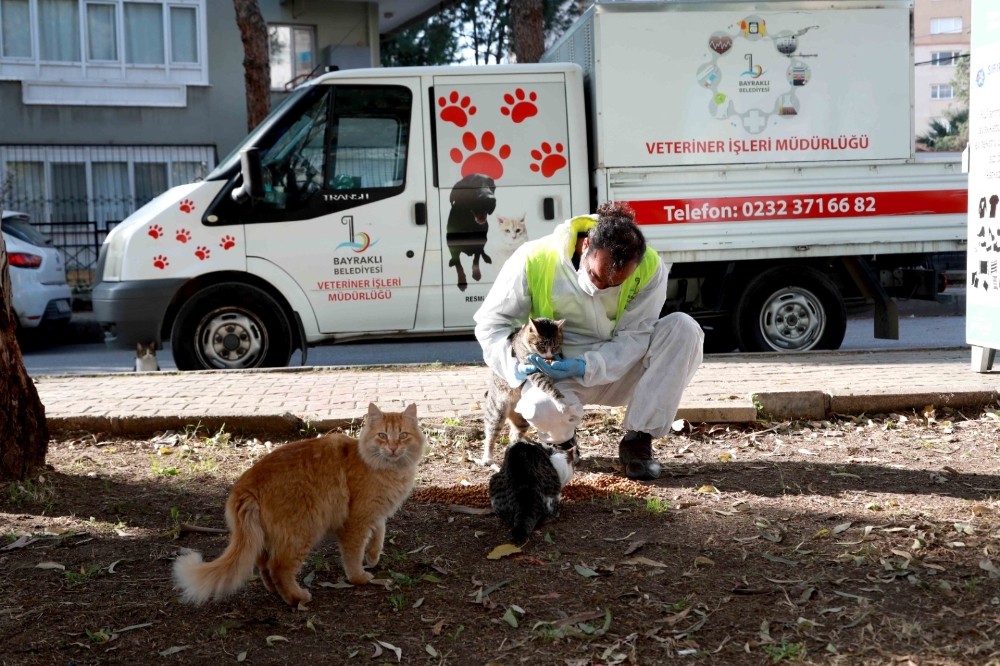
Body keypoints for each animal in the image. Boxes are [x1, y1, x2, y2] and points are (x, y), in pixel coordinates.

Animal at [172, 402, 422, 604]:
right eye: (382, 435)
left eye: (402, 435)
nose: (393, 448)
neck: (389, 470)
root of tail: (246, 484)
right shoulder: (356, 522)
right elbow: (353, 556)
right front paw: (359, 577)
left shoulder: (376, 513)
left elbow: (379, 533)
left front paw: (373, 556)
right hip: (302, 531)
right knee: (278, 568)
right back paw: (296, 598)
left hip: (267, 537)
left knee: (264, 565)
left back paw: (275, 592)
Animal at [480, 318, 568, 464]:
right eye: (542, 345)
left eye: (555, 346)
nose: (549, 354)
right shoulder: (532, 369)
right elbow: (547, 386)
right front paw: (559, 400)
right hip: (496, 412)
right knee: (490, 434)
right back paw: (487, 456)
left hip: (522, 420)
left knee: (513, 435)